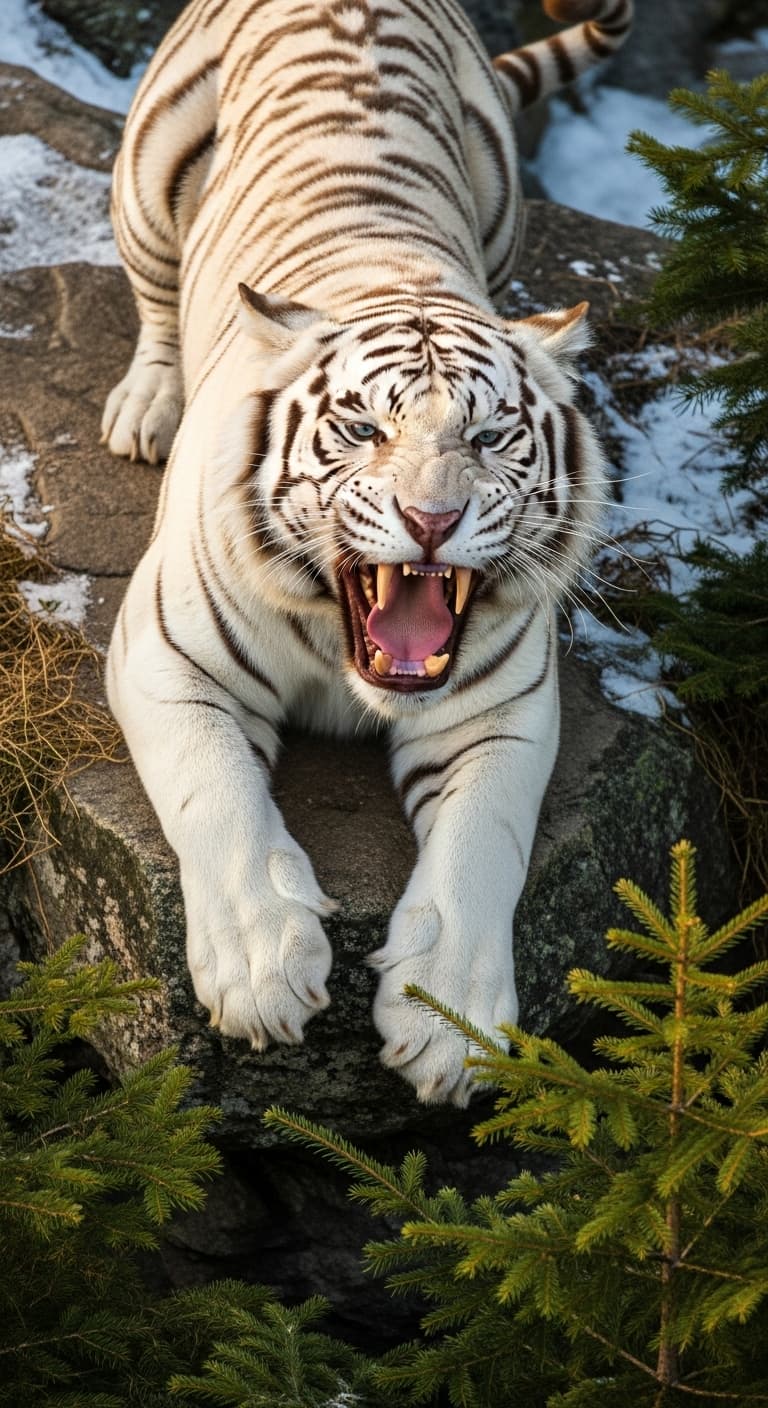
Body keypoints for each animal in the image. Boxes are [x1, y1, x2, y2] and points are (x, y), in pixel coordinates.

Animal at [102, 0, 633, 1105]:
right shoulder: (165, 656)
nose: (431, 519)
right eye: (362, 429)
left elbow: (485, 845)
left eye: (489, 435)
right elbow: (213, 791)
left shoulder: (500, 711)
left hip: (502, 192)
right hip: (149, 173)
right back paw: (147, 405)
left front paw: (451, 1023)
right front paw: (262, 968)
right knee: (156, 303)